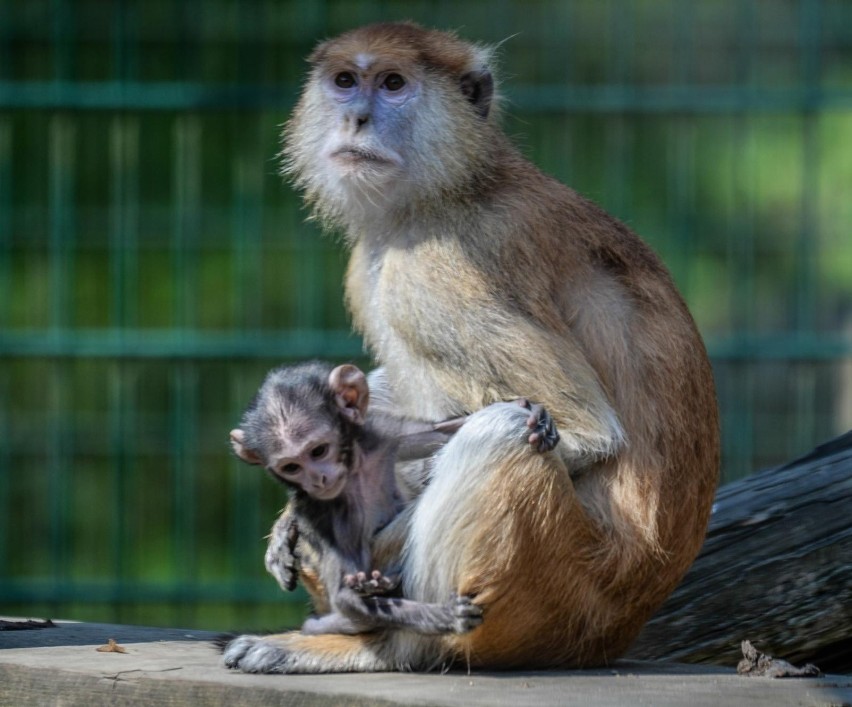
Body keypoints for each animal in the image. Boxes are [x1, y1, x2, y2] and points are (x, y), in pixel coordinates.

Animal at [230, 362, 482, 640]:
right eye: (291, 467)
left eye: (318, 451)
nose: (318, 479)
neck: (354, 472)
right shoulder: (334, 519)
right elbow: (345, 597)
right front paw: (444, 616)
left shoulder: (380, 432)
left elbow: (440, 432)